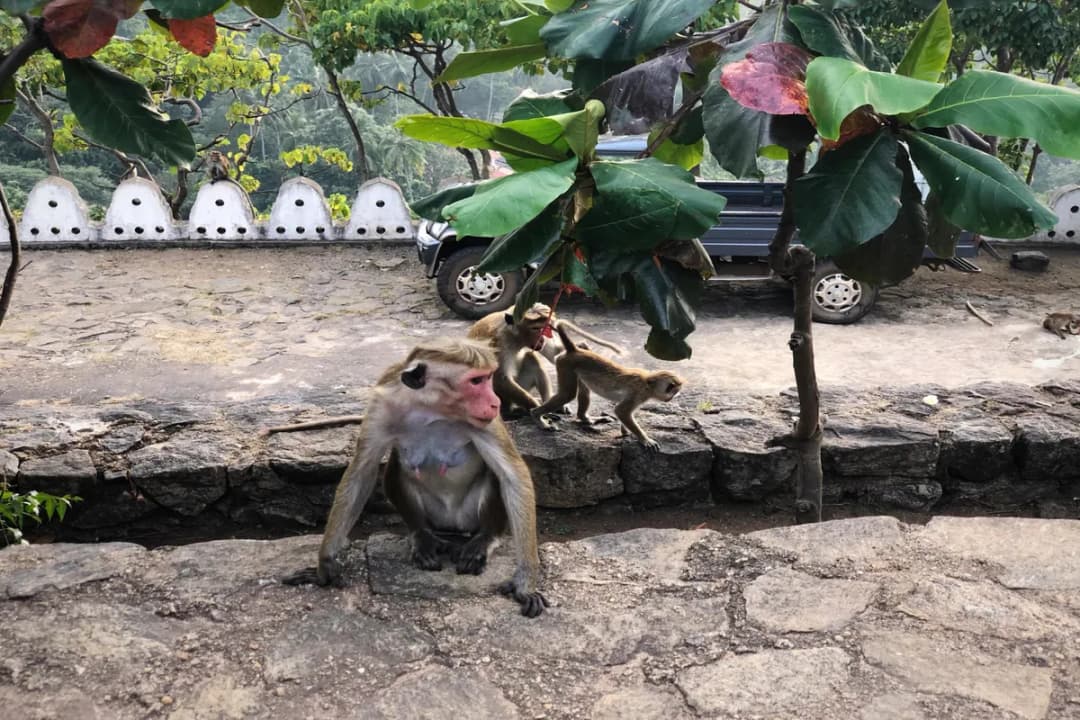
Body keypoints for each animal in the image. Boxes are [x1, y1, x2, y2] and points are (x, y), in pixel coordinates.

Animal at [281, 338, 547, 617]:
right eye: (476, 381)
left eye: (487, 378)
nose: (495, 401)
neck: (430, 409)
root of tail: (452, 526)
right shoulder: (380, 407)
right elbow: (361, 472)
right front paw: (324, 565)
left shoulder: (486, 419)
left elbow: (513, 475)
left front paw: (524, 583)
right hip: (435, 517)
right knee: (394, 469)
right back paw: (422, 536)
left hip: (468, 516)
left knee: (495, 475)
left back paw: (485, 538)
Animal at [467, 302, 625, 417]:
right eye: (535, 328)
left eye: (545, 328)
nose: (543, 338)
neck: (515, 336)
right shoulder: (498, 342)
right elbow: (501, 379)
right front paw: (536, 408)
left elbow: (554, 354)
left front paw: (581, 347)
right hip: (496, 400)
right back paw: (514, 410)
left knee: (531, 358)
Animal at [531, 325, 684, 452]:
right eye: (672, 393)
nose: (670, 399)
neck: (648, 381)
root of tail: (574, 350)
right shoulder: (639, 393)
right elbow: (621, 411)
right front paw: (644, 439)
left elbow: (623, 413)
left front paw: (625, 432)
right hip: (565, 365)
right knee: (567, 394)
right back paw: (537, 416)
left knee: (584, 390)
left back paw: (585, 418)